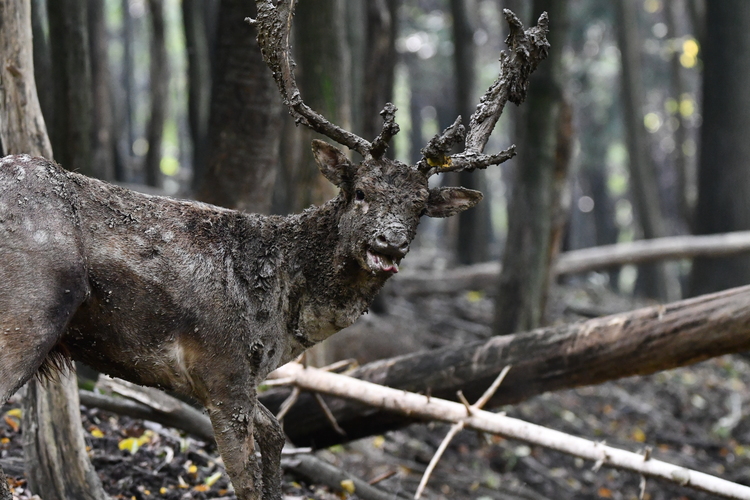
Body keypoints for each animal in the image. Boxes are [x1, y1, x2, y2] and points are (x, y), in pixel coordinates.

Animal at [0, 1, 548, 498]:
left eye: (418, 208)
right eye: (361, 192)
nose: (389, 243)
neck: (287, 319)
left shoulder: (240, 380)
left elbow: (277, 437)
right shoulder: (221, 367)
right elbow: (247, 475)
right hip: (28, 312)